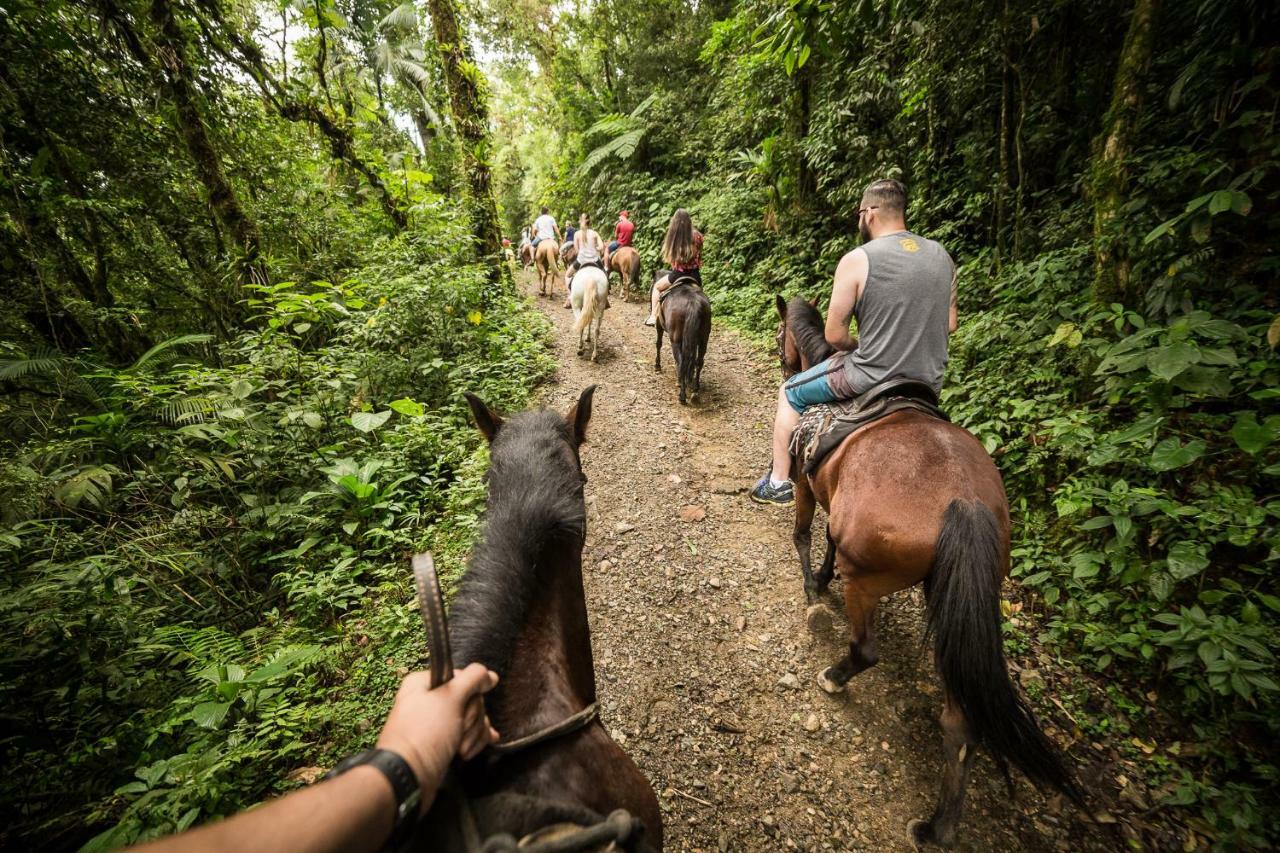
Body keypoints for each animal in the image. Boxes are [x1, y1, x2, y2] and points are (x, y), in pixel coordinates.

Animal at [655, 274, 716, 404]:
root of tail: (693, 303)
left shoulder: (659, 324)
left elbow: (659, 344)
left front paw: (657, 366)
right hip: (703, 339)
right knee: (698, 361)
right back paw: (695, 391)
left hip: (675, 339)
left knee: (681, 361)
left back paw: (682, 394)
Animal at [773, 295, 1085, 845]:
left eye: (780, 335)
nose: (784, 365)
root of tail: (965, 499)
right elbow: (829, 540)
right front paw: (821, 581)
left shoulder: (808, 484)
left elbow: (806, 534)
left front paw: (813, 591)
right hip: (958, 600)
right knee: (961, 722)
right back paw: (939, 827)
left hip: (869, 578)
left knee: (866, 650)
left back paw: (834, 677)